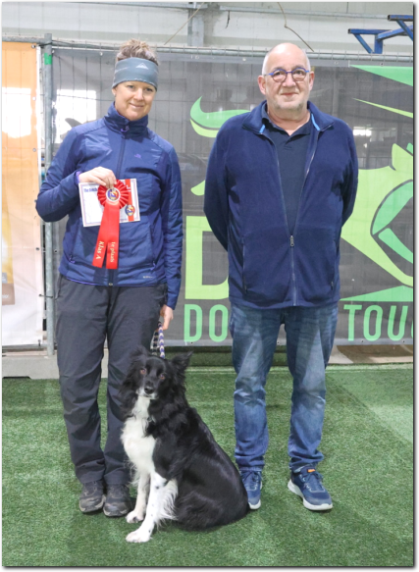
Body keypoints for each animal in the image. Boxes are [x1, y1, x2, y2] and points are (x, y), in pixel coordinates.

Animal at [120, 348, 249, 543]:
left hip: (192, 502)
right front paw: (137, 514)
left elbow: (153, 504)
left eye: (163, 376)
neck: (155, 412)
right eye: (142, 370)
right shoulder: (145, 461)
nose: (149, 389)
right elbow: (142, 489)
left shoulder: (162, 470)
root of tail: (245, 508)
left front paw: (143, 533)